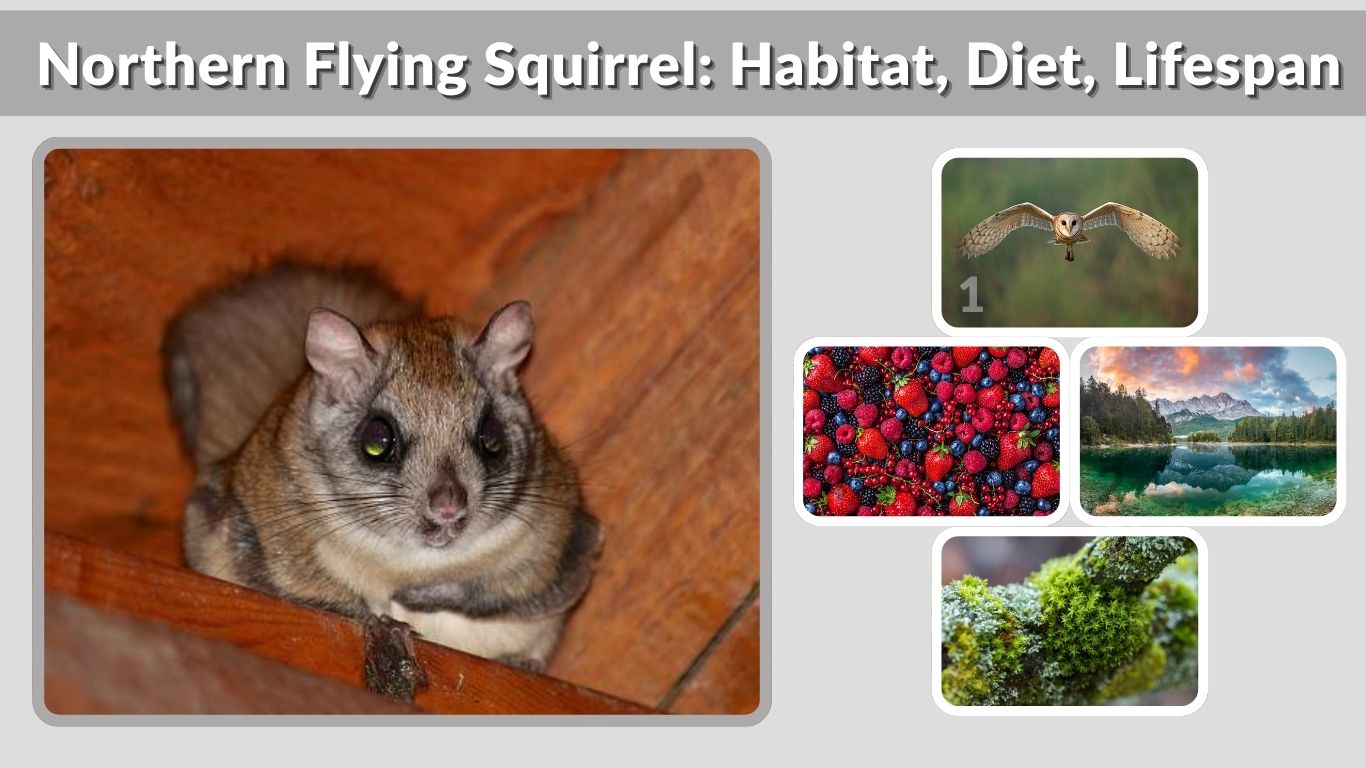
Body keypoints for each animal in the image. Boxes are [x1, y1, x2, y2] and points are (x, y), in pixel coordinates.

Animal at [163, 262, 599, 671]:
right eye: (377, 441)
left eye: (491, 438)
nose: (448, 505)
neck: (412, 560)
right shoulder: (264, 524)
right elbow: (313, 593)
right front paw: (384, 619)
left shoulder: (567, 536)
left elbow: (509, 589)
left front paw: (420, 597)